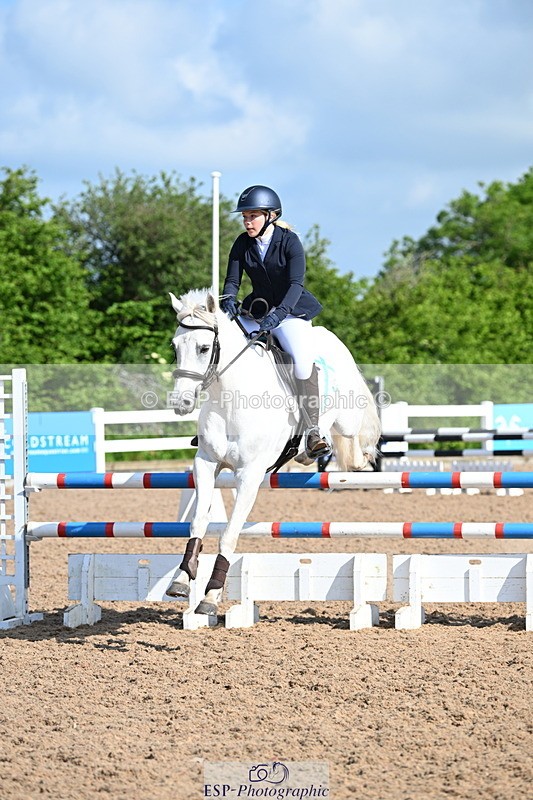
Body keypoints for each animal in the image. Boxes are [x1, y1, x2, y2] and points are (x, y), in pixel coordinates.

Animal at [166, 288, 381, 616]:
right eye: (175, 346)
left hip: (346, 415)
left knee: (350, 435)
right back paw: (308, 451)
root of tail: (330, 338)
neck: (230, 400)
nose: (181, 403)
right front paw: (181, 578)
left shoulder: (249, 475)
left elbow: (229, 534)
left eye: (203, 348)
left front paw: (210, 596)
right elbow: (198, 521)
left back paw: (351, 454)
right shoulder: (205, 463)